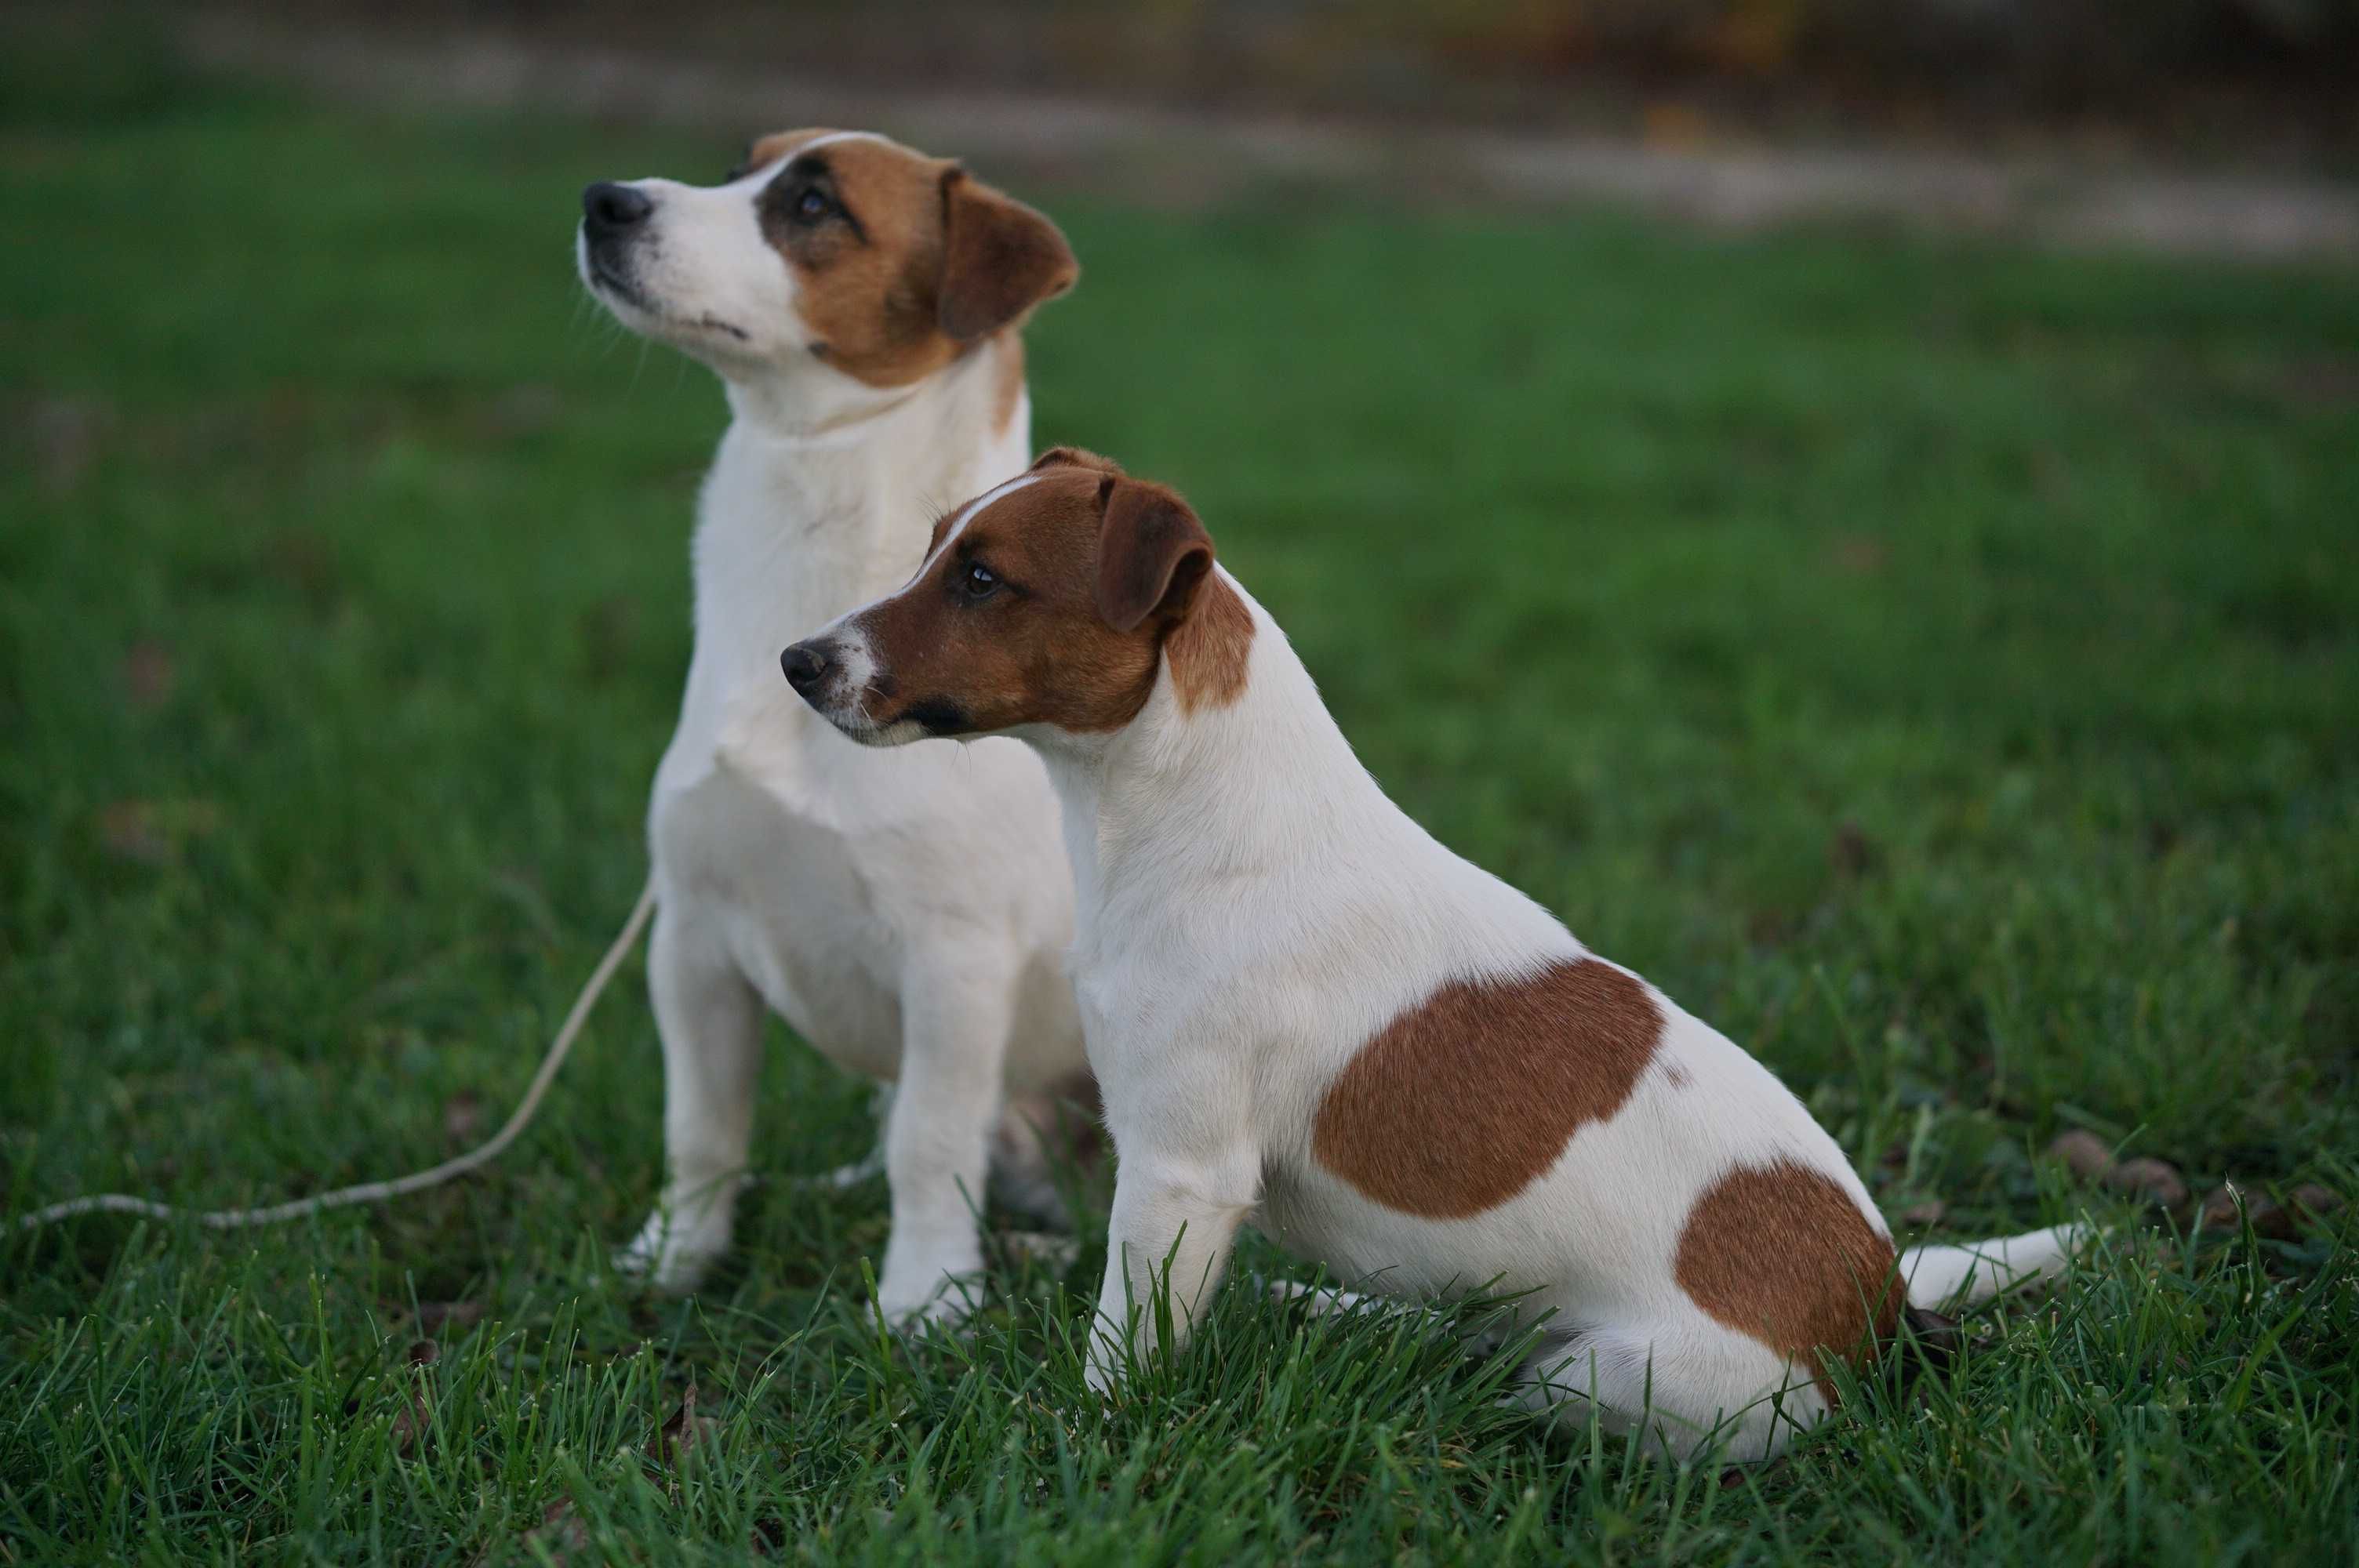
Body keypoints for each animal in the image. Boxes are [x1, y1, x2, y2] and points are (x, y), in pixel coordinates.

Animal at [575, 128, 1089, 1320]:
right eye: (736, 169)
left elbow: (931, 1144)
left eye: (815, 205)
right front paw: (676, 1261)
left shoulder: (955, 964)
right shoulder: (692, 938)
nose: (603, 200)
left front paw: (924, 1300)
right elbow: (702, 1129)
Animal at [773, 450, 2085, 1452]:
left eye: (984, 579)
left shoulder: (1182, 1172)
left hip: (1617, 1375)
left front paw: (1072, 1434)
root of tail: (1881, 1295)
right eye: (933, 549)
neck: (1199, 824)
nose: (797, 661)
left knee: (1509, 1378)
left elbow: (1121, 1342)